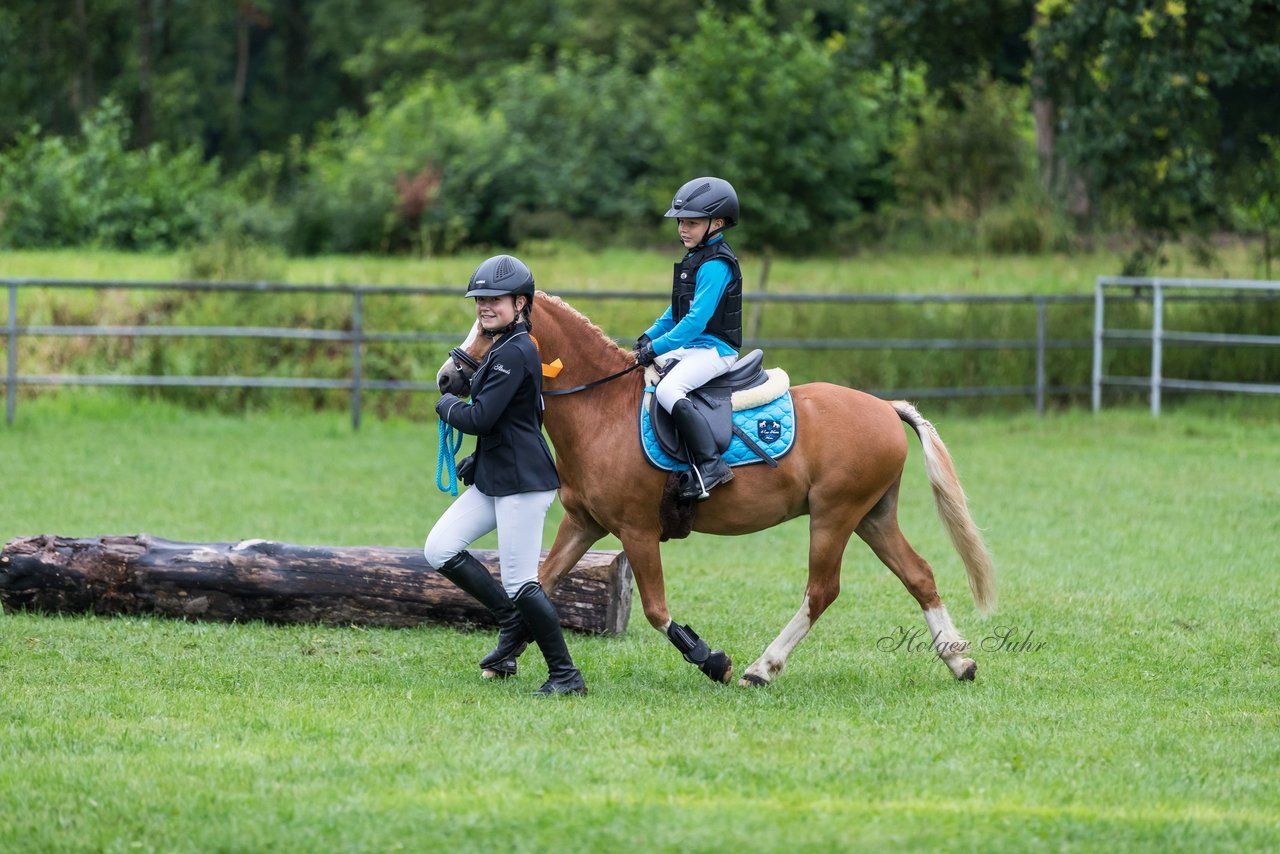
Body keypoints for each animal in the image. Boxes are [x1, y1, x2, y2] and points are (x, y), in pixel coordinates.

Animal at [435, 294, 993, 686]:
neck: (601, 410)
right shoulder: (583, 523)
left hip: (835, 515)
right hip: (872, 516)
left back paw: (760, 669)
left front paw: (712, 661)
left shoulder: (637, 531)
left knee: (822, 591)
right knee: (918, 574)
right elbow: (544, 584)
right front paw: (501, 657)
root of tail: (884, 408)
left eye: (492, 327)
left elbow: (657, 611)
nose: (445, 379)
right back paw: (958, 662)